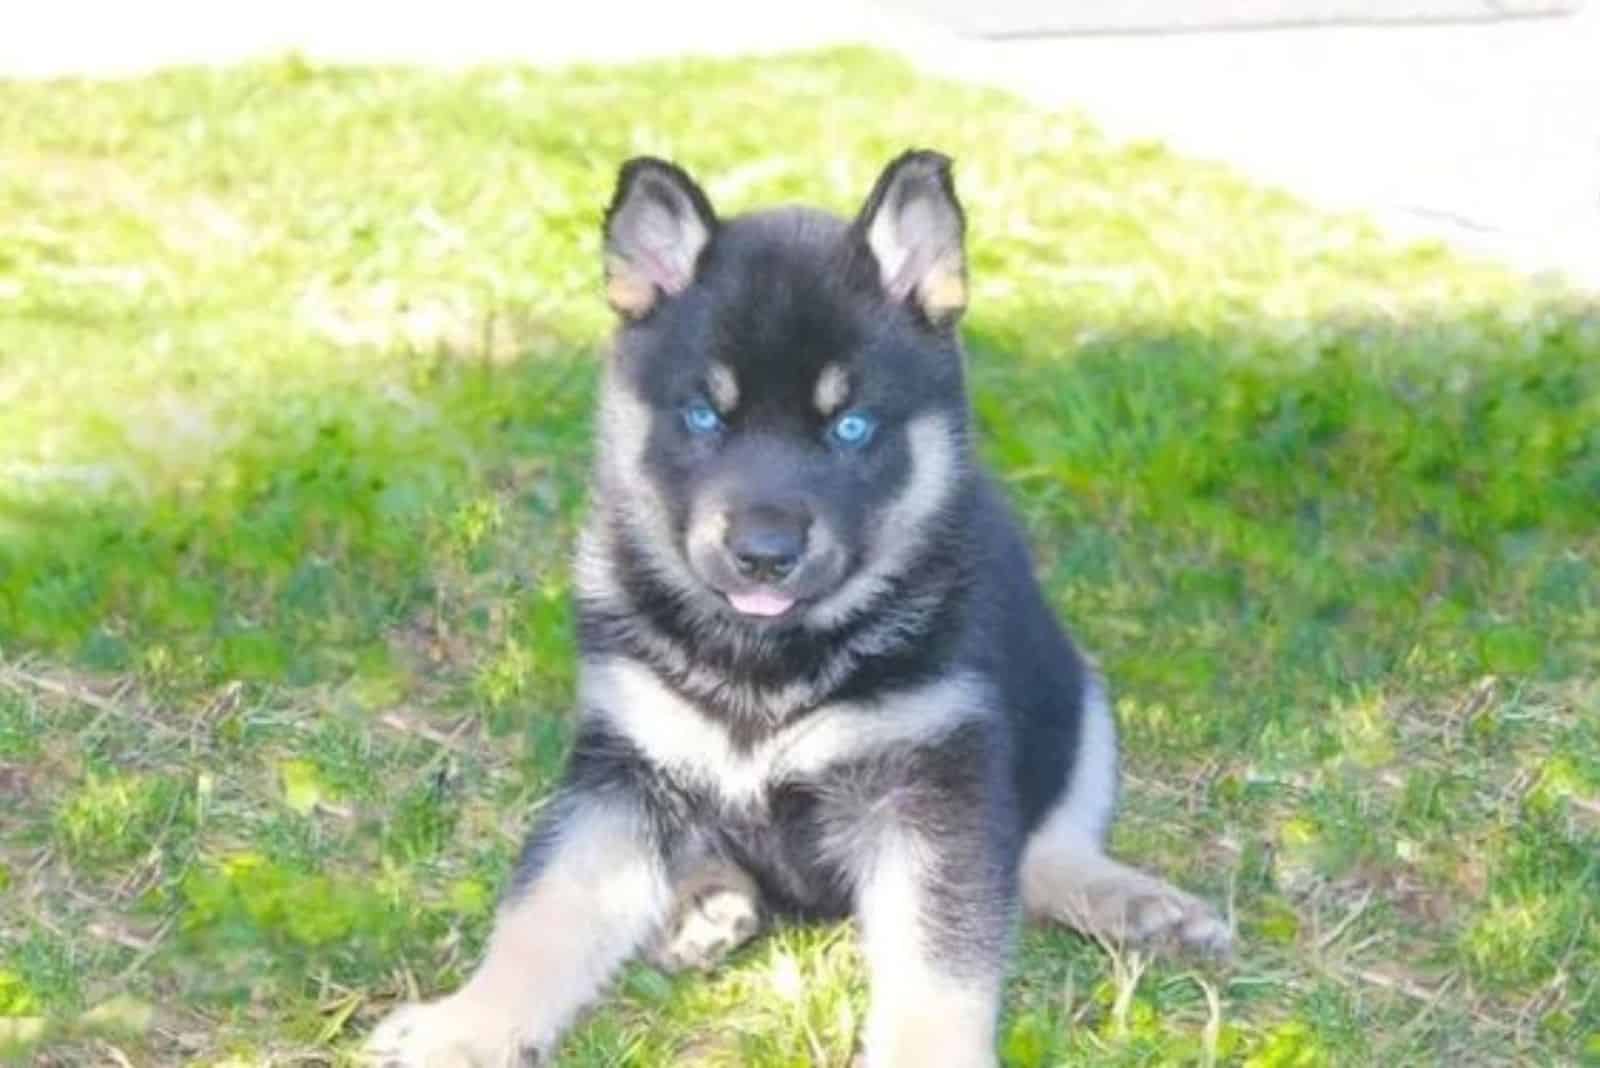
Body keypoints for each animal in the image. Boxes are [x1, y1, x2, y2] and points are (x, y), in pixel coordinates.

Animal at [368, 151, 1228, 1068]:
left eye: (849, 427)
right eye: (703, 416)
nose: (764, 552)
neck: (767, 657)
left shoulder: (931, 787)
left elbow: (941, 960)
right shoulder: (624, 771)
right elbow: (546, 908)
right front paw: (469, 1023)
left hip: (1077, 694)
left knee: (1047, 845)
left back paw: (1132, 901)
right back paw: (705, 900)